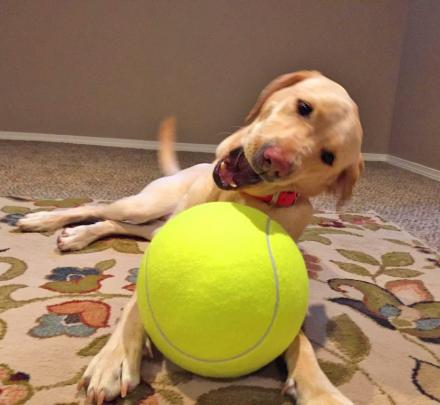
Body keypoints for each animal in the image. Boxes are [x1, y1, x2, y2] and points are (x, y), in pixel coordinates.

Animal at [17, 71, 362, 402]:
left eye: (328, 157)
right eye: (304, 107)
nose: (275, 160)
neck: (238, 200)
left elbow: (300, 341)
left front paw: (320, 389)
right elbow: (134, 308)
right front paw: (114, 361)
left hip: (156, 224)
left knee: (116, 224)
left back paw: (77, 235)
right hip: (145, 205)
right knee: (98, 207)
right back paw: (46, 220)